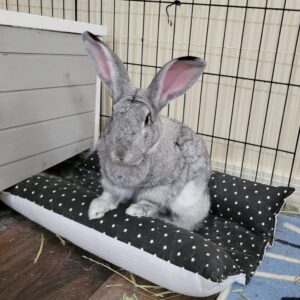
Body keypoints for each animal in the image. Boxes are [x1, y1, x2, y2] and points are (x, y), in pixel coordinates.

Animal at [81, 31, 210, 230]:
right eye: (113, 115)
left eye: (147, 119)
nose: (120, 153)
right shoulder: (113, 184)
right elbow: (110, 195)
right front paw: (95, 210)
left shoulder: (161, 187)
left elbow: (151, 201)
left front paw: (136, 210)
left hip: (190, 202)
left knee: (184, 222)